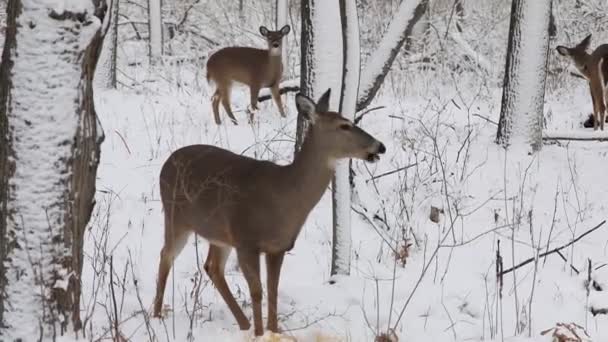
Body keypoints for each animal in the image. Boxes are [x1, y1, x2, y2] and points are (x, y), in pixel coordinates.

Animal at [154, 89, 388, 336]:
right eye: (344, 126)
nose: (380, 146)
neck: (284, 198)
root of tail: (166, 162)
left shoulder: (278, 247)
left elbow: (273, 290)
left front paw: (273, 331)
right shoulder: (247, 241)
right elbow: (257, 291)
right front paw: (259, 334)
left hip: (218, 233)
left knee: (212, 267)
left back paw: (243, 323)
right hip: (175, 216)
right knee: (166, 255)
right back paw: (157, 314)